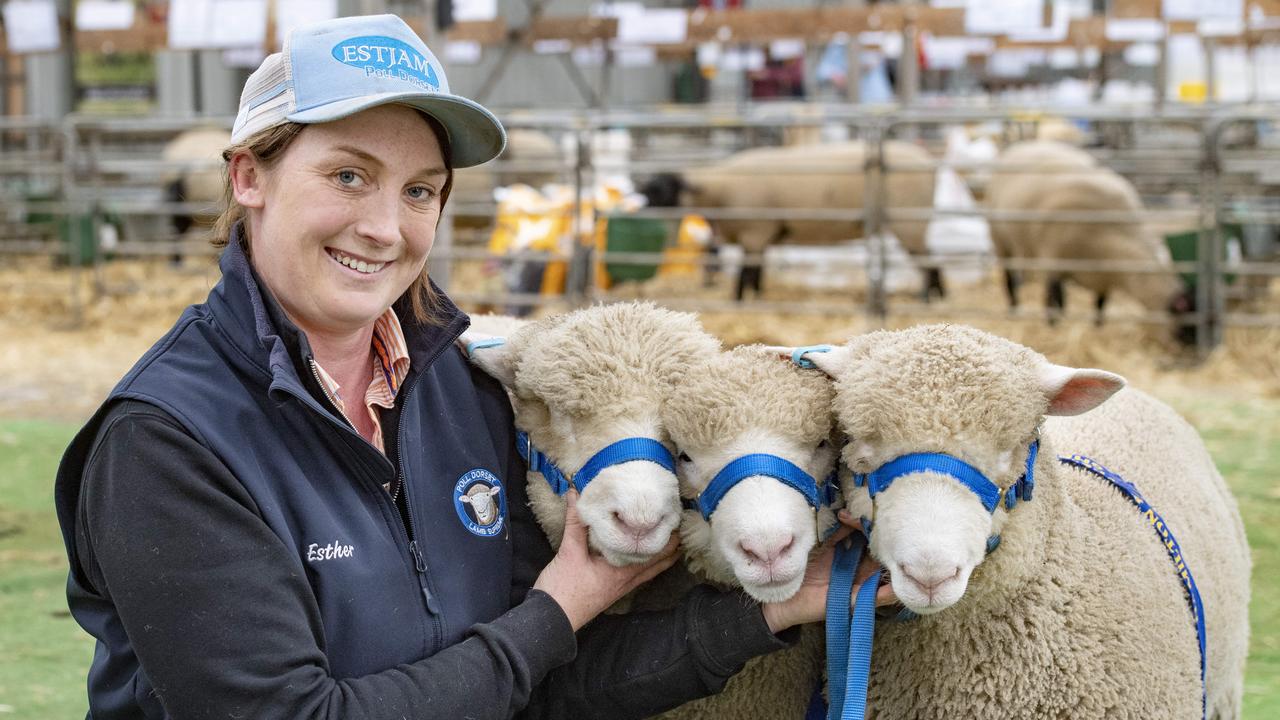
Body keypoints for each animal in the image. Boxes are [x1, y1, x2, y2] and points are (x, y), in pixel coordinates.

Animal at [650, 139, 942, 301]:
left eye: (666, 192)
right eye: (653, 190)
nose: (643, 212)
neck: (720, 189)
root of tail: (928, 161)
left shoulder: (755, 231)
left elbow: (746, 273)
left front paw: (739, 300)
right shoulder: (763, 234)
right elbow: (757, 273)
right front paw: (757, 297)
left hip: (909, 220)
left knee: (926, 259)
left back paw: (928, 297)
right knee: (930, 257)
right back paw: (937, 295)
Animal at [983, 143, 1192, 340]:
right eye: (1184, 331)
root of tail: (1022, 145)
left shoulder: (1102, 277)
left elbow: (1099, 305)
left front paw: (1097, 328)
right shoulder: (1053, 262)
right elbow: (1054, 301)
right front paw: (1054, 328)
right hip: (1000, 238)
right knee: (1009, 277)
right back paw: (1013, 309)